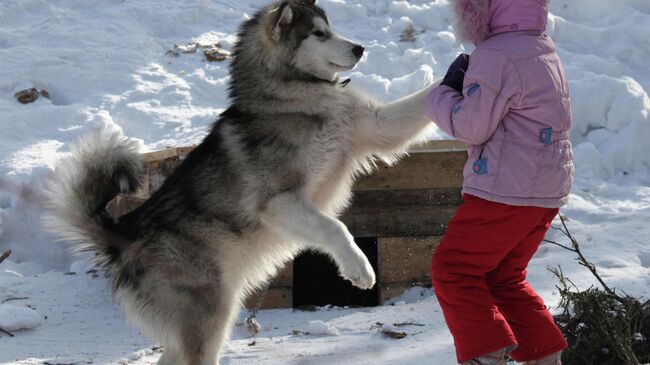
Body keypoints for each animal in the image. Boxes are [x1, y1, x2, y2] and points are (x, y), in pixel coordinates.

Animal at [44, 1, 436, 362]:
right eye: (319, 33)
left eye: (332, 28)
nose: (359, 48)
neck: (295, 97)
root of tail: (122, 233)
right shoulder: (279, 201)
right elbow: (335, 228)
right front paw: (360, 268)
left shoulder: (375, 126)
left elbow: (416, 107)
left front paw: (448, 77)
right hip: (210, 314)